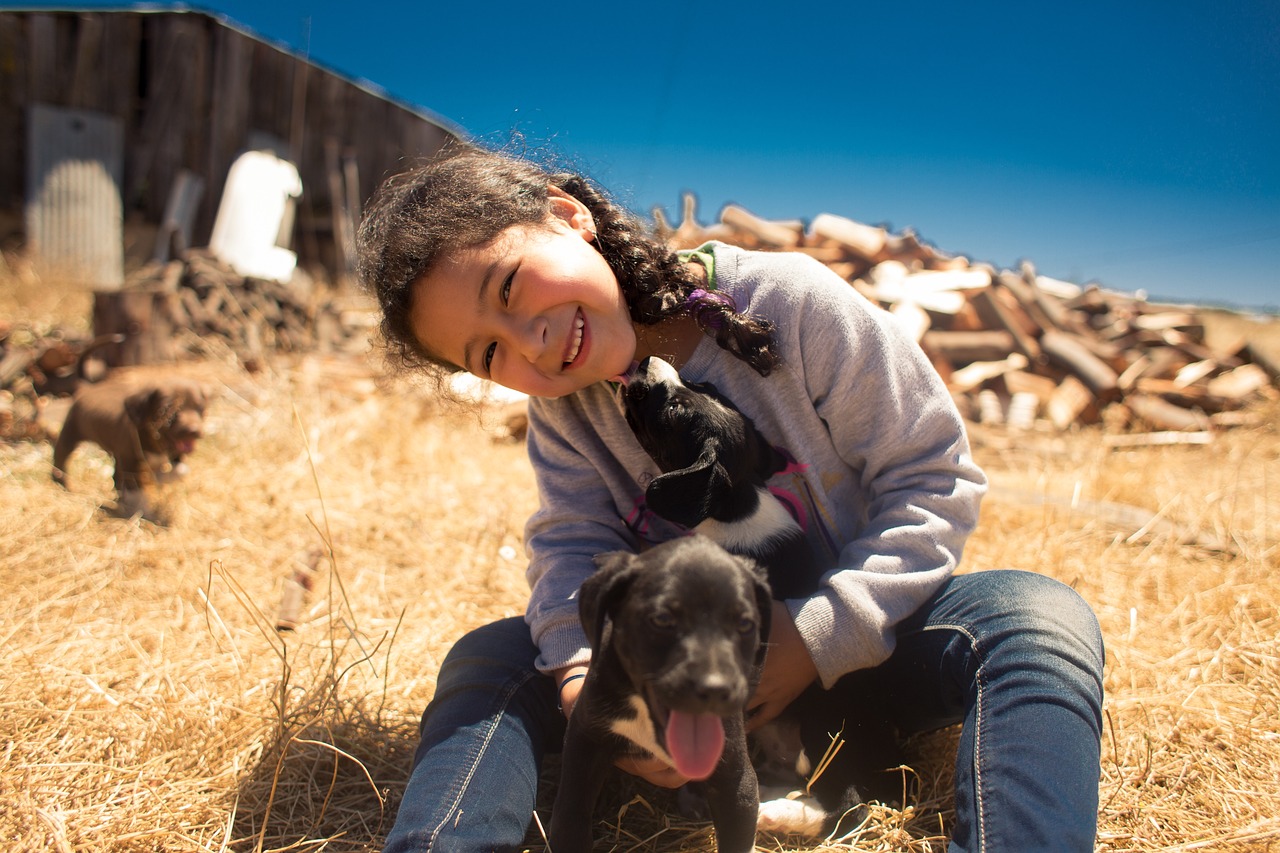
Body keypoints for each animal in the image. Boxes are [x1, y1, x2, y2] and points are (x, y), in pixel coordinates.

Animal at [52, 371, 209, 517]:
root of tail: (88, 389)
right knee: (60, 458)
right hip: (71, 432)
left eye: (200, 408)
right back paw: (60, 482)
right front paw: (141, 512)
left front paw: (160, 477)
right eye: (165, 411)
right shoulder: (130, 462)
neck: (154, 441)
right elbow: (136, 491)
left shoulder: (175, 454)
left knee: (117, 476)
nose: (193, 431)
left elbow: (181, 470)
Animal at [547, 535, 768, 850]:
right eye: (662, 619)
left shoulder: (737, 779)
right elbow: (570, 814)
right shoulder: (584, 735)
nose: (716, 689)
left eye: (745, 624)